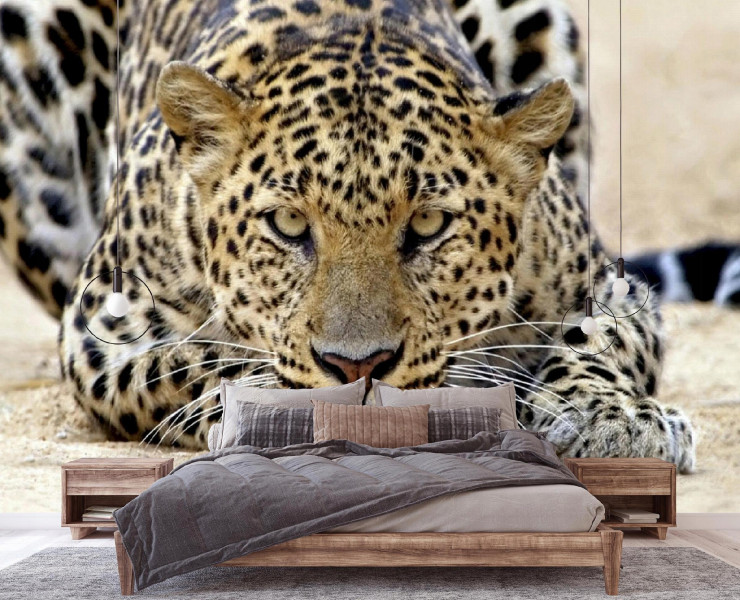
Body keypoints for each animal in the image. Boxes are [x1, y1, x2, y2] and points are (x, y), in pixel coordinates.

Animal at [0, 0, 697, 472]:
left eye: (428, 225)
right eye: (287, 225)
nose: (357, 367)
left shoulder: (611, 286)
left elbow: (595, 344)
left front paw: (616, 418)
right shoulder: (103, 329)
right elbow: (199, 362)